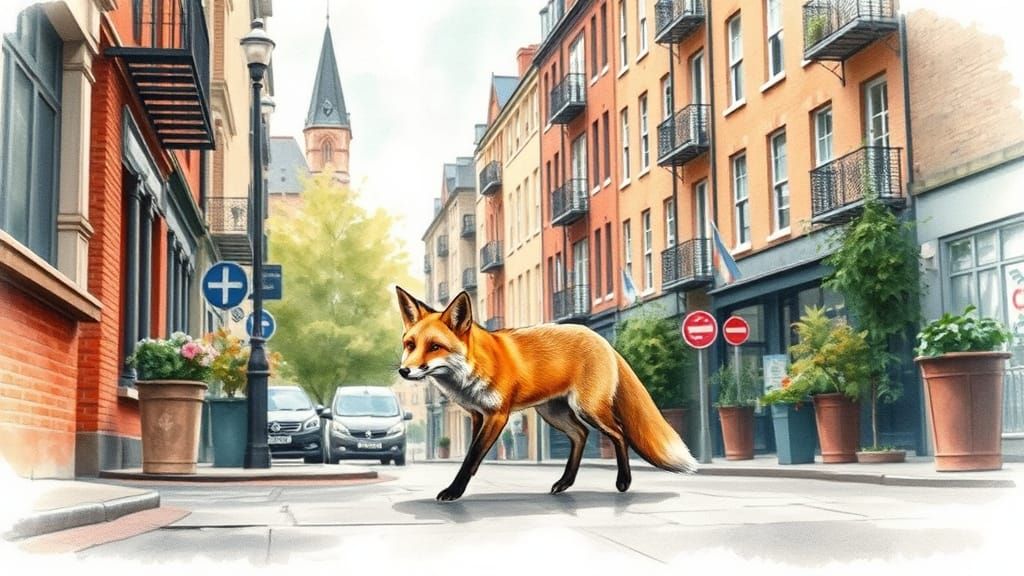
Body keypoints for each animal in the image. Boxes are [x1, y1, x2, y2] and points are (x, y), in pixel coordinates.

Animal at [395, 286, 698, 501]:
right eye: (410, 344)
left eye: (435, 347)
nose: (404, 371)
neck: (474, 367)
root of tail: (602, 340)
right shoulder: (477, 415)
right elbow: (470, 455)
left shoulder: (497, 415)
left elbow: (472, 458)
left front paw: (454, 491)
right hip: (554, 413)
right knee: (581, 434)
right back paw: (565, 483)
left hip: (588, 408)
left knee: (619, 434)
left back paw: (623, 482)